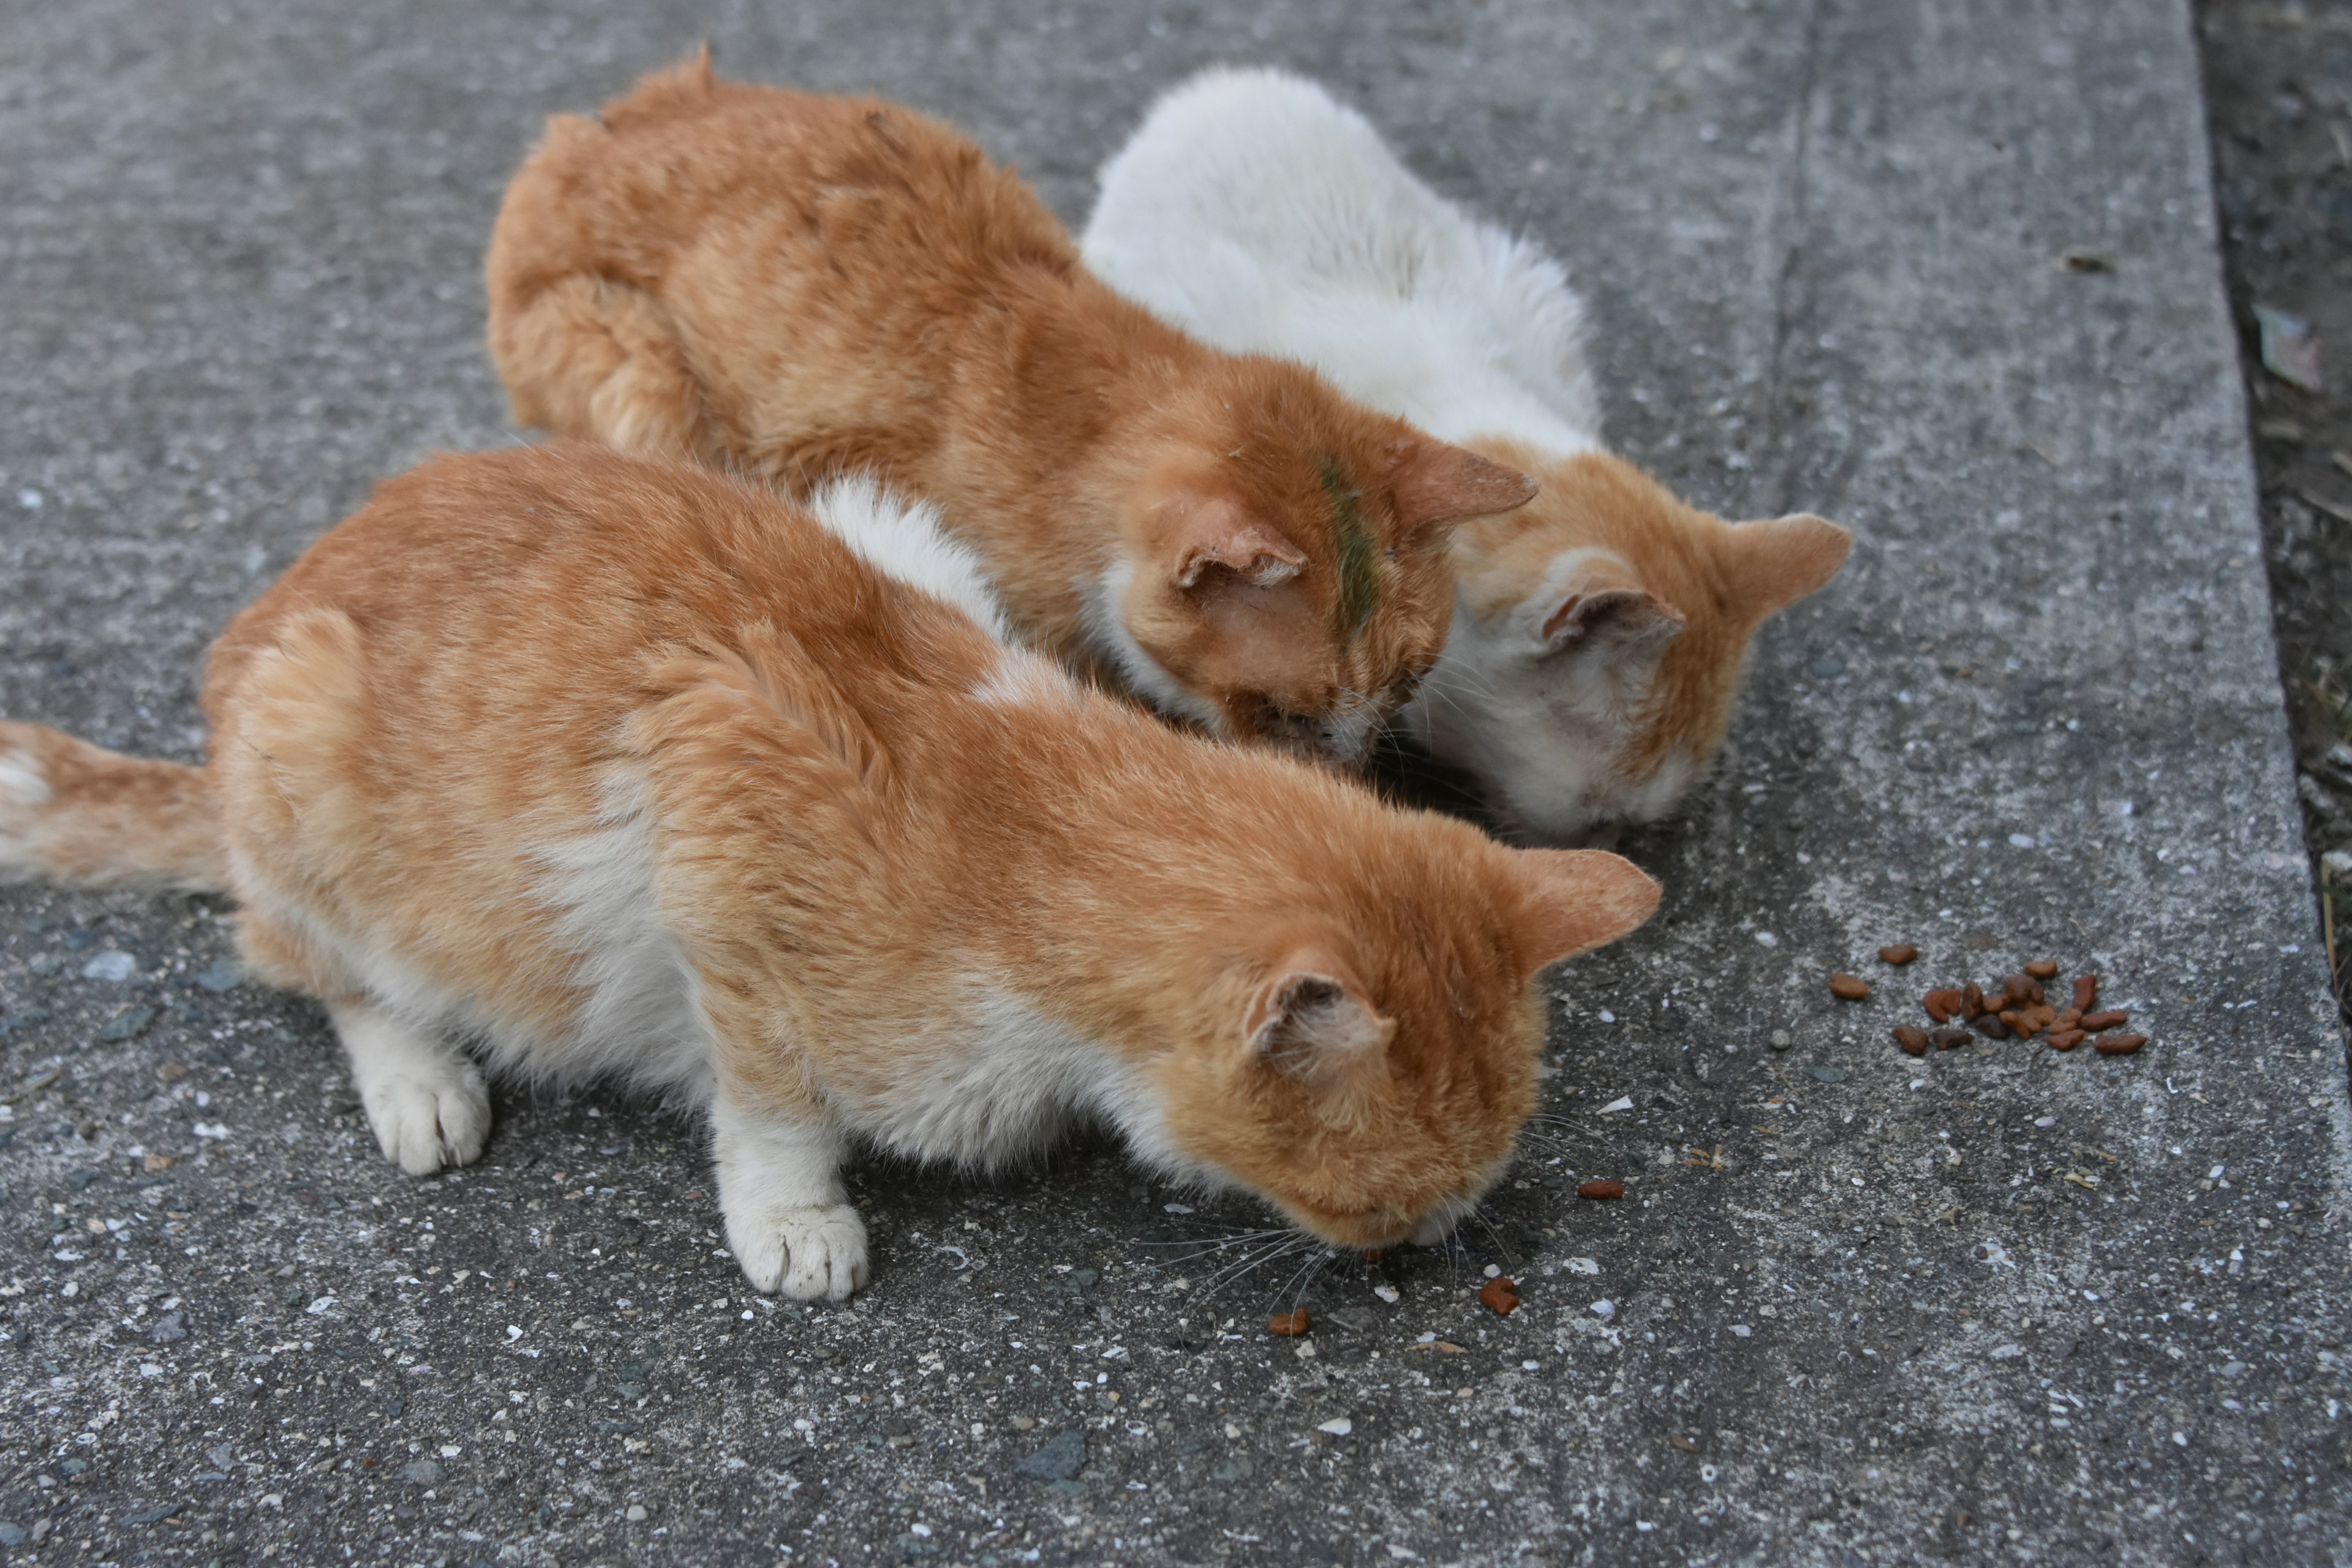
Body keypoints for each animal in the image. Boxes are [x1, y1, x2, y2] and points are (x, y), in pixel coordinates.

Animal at [0, 444, 1665, 1297]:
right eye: (1389, 1196)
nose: (1433, 1246)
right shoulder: (714, 785)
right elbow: (768, 1092)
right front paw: (795, 1218)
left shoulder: (875, 534)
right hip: (306, 773)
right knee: (304, 960)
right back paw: (422, 1077)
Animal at [486, 58, 1533, 771]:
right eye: (1281, 711)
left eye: (1407, 684)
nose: (1348, 770)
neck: (1069, 430)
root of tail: (570, 140)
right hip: (644, 381)